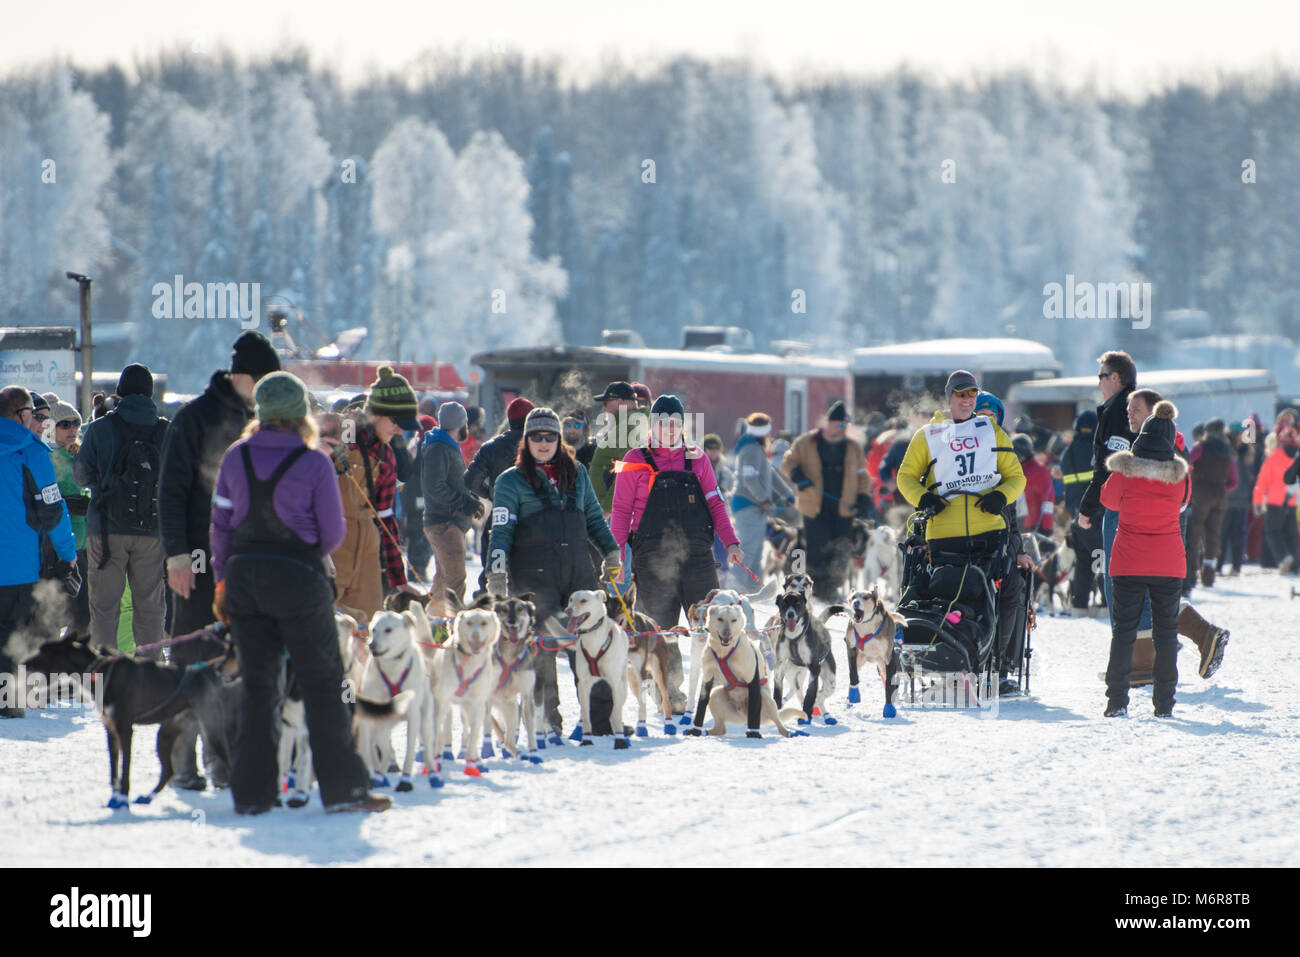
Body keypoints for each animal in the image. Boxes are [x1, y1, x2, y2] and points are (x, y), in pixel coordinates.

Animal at [769, 590, 842, 722]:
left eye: (798, 603)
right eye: (784, 603)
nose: (790, 614)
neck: (794, 637)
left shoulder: (814, 667)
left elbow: (811, 693)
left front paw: (806, 714)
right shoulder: (779, 665)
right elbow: (777, 691)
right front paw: (777, 709)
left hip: (830, 681)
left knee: (819, 696)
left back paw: (826, 715)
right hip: (792, 673)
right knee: (797, 690)